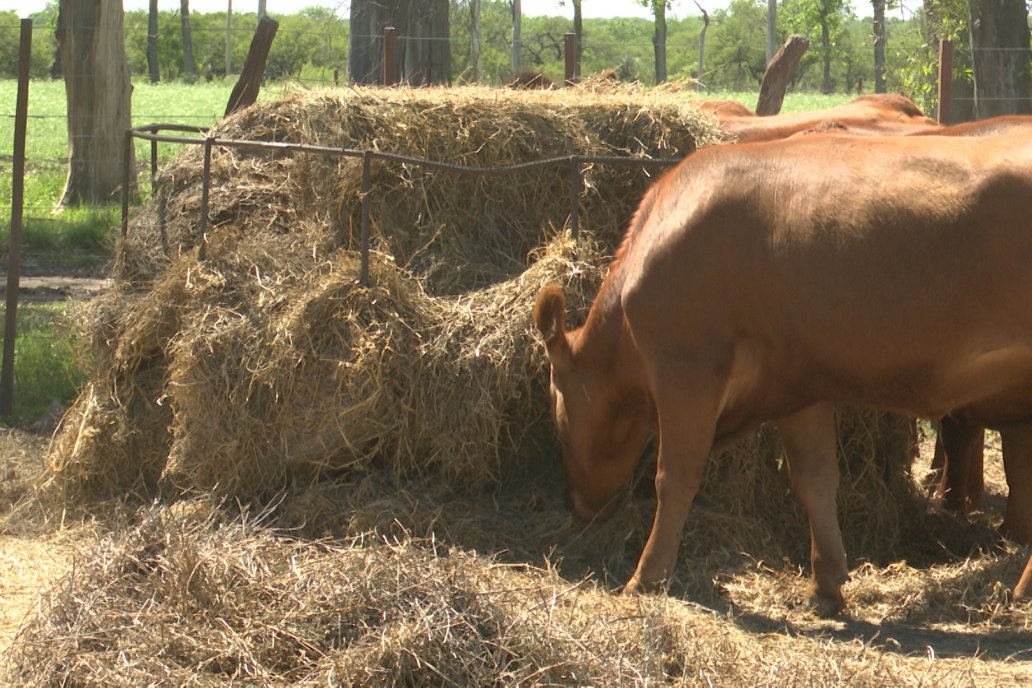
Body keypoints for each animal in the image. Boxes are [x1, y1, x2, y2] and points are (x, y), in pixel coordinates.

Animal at [536, 132, 1032, 614]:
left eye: (556, 408)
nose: (573, 504)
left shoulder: (686, 368)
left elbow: (674, 477)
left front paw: (645, 578)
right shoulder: (798, 386)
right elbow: (815, 479)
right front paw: (826, 585)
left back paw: (1021, 590)